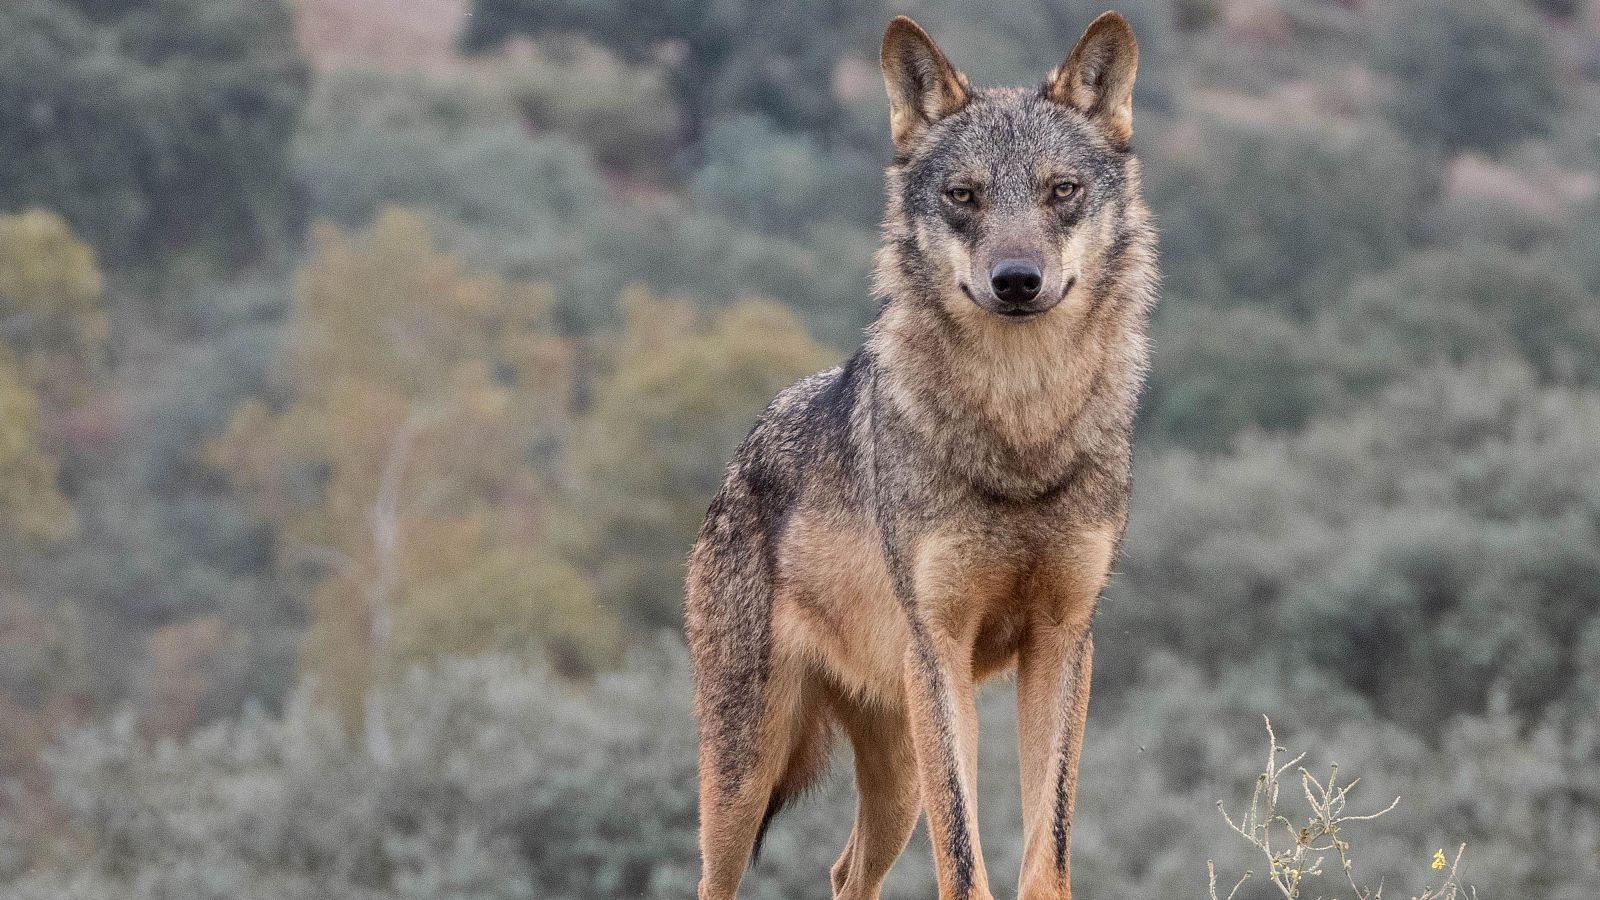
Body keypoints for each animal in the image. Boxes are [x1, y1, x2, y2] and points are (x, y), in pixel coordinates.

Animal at [685, 11, 1156, 900]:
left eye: (1061, 192)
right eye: (963, 196)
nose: (1017, 279)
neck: (1019, 433)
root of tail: (740, 456)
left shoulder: (1063, 643)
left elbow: (1047, 850)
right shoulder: (939, 647)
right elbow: (965, 862)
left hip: (897, 767)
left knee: (844, 872)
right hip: (747, 771)